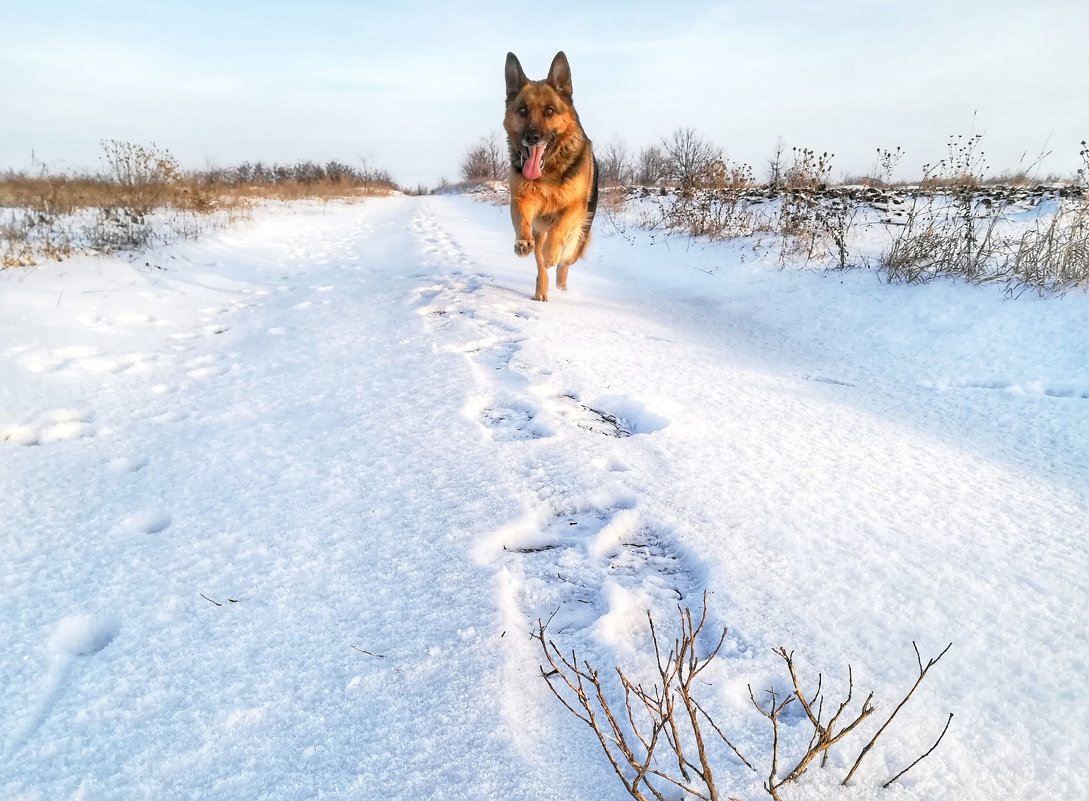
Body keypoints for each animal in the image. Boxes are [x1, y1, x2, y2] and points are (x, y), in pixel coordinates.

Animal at [505, 50, 601, 300]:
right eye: (523, 110)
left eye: (549, 111)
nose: (532, 137)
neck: (548, 169)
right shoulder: (522, 200)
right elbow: (523, 223)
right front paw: (522, 242)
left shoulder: (575, 207)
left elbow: (559, 229)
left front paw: (552, 253)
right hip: (540, 232)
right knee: (540, 264)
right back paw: (542, 289)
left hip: (579, 238)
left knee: (564, 262)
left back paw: (561, 284)